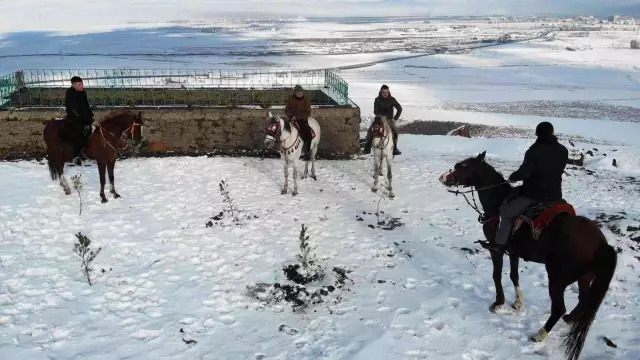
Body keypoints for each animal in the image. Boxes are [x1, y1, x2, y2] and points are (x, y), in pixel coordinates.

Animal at [440, 151, 616, 360]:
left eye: (463, 166)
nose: (443, 178)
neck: (497, 203)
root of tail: (601, 243)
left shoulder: (496, 250)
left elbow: (497, 275)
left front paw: (498, 303)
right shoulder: (514, 252)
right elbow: (514, 275)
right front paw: (517, 303)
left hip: (557, 278)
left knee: (559, 308)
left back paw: (540, 334)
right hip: (584, 277)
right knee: (583, 300)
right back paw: (569, 319)